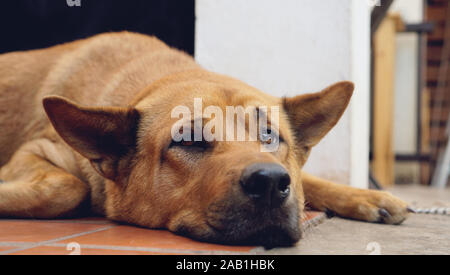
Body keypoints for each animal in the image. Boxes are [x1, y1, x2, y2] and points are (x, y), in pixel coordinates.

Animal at [0, 32, 410, 248]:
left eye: (269, 135)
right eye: (189, 141)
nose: (271, 182)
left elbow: (310, 181)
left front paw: (371, 197)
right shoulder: (38, 151)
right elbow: (68, 188)